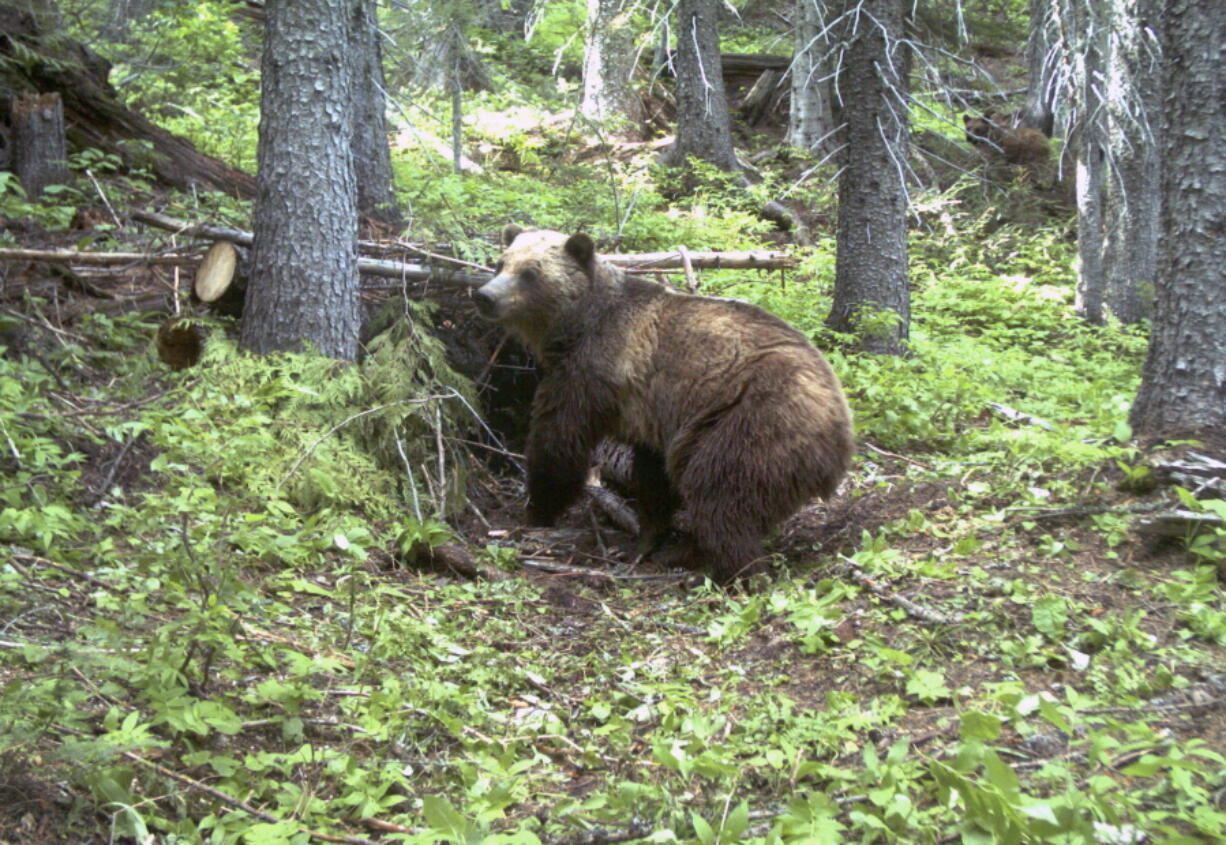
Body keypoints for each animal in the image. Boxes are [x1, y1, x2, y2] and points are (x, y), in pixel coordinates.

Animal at [468, 226, 853, 583]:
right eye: (501, 262)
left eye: (531, 272)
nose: (485, 295)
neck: (574, 325)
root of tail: (841, 438)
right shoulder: (649, 412)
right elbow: (652, 477)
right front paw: (647, 536)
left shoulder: (593, 370)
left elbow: (559, 439)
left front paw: (537, 509)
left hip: (752, 419)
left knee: (720, 493)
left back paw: (722, 565)